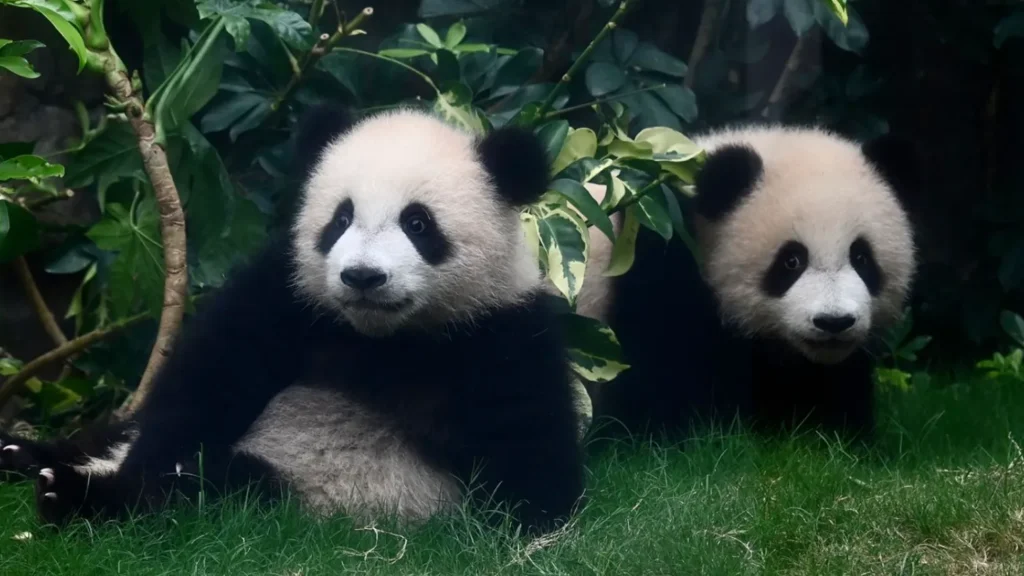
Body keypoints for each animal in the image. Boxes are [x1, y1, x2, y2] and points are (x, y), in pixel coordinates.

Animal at [0, 104, 586, 534]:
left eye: (418, 223)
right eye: (341, 219)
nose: (362, 277)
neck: (381, 337)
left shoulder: (499, 333)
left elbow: (534, 475)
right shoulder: (289, 296)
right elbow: (208, 379)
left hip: (296, 486)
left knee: (217, 491)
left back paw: (74, 494)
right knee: (116, 436)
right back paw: (26, 455)